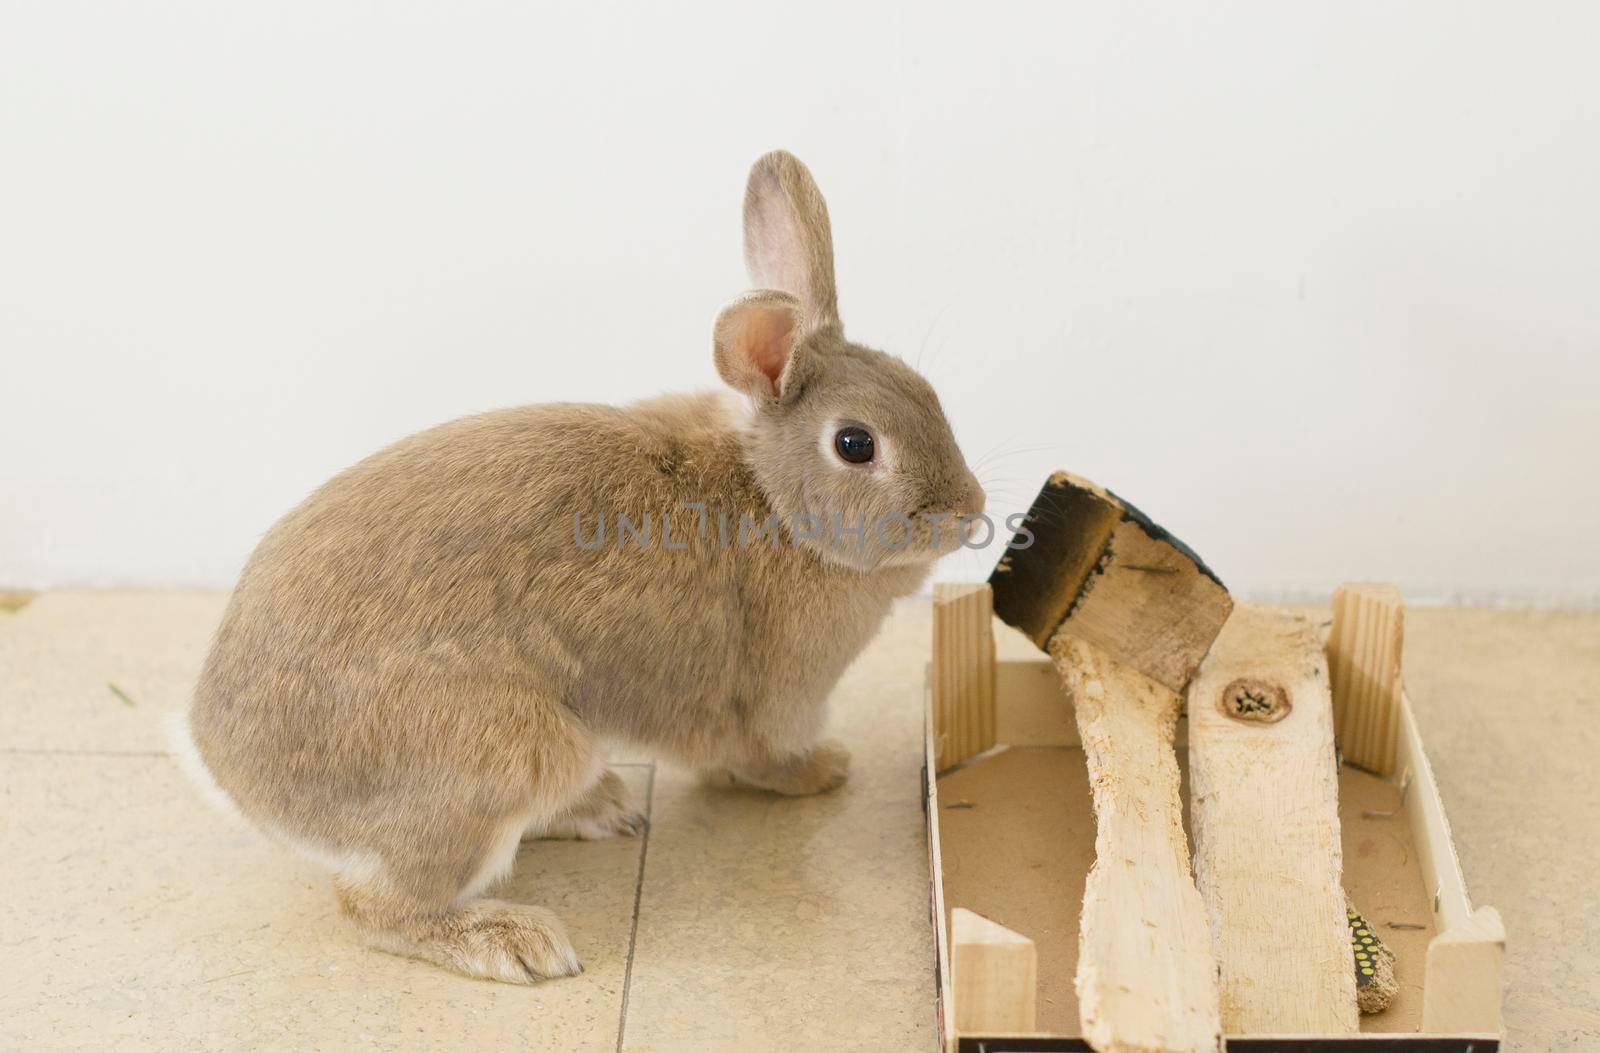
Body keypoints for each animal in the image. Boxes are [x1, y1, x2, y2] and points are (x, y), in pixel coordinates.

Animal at [187, 149, 985, 985]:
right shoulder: (772, 699)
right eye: (856, 444)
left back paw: (602, 807)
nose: (969, 511)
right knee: (376, 904)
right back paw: (513, 937)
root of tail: (230, 774)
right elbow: (755, 757)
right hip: (501, 757)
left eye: (928, 395)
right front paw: (822, 770)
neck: (770, 496)